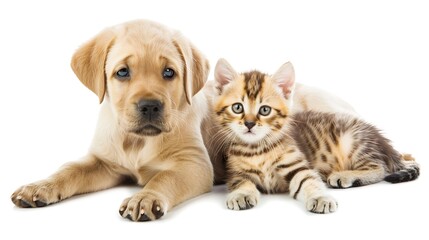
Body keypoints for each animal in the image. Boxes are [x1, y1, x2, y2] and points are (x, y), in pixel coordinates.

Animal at [9, 19, 211, 222]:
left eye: (169, 72)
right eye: (122, 72)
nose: (150, 106)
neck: (137, 141)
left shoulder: (194, 163)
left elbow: (164, 177)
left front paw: (144, 197)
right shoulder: (103, 162)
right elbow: (70, 169)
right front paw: (41, 186)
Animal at [213, 58, 418, 214]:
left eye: (265, 110)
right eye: (237, 107)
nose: (249, 124)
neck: (257, 149)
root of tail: (383, 140)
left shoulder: (298, 167)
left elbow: (309, 182)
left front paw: (320, 198)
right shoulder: (235, 174)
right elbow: (242, 183)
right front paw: (242, 194)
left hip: (354, 142)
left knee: (379, 168)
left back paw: (344, 176)